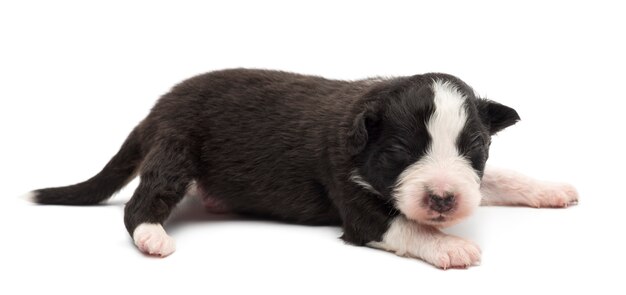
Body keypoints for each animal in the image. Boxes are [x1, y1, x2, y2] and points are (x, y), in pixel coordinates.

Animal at [30, 69, 576, 270]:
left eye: (475, 147)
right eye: (400, 152)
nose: (443, 199)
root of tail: (156, 108)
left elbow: (498, 180)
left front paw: (549, 189)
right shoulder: (355, 203)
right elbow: (402, 225)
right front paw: (450, 245)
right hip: (175, 148)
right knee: (142, 203)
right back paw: (152, 236)